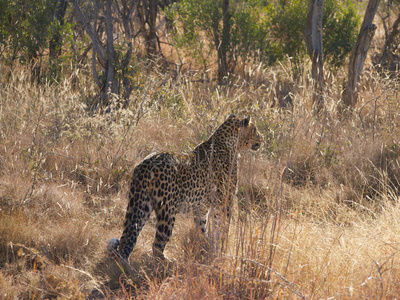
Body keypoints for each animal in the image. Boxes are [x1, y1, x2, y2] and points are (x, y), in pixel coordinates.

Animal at [107, 114, 262, 260]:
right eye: (254, 130)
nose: (262, 138)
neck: (230, 144)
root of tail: (146, 163)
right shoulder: (225, 201)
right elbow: (223, 226)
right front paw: (221, 246)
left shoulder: (202, 207)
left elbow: (202, 227)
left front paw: (207, 245)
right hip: (167, 210)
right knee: (157, 244)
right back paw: (167, 263)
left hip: (140, 204)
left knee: (127, 236)